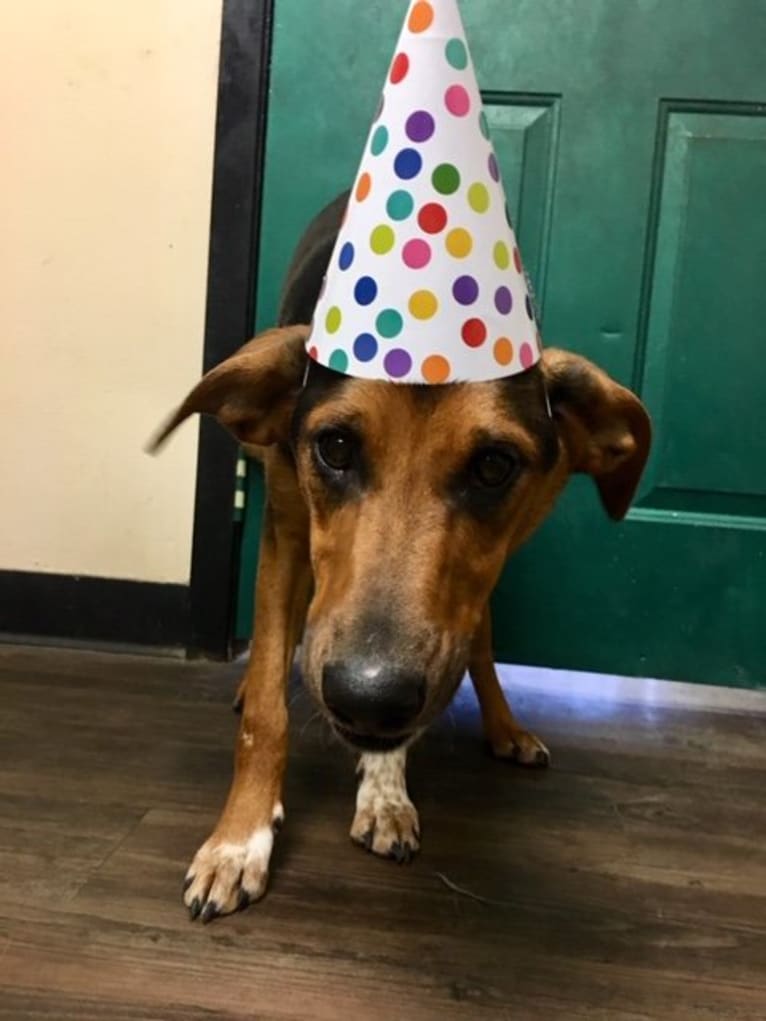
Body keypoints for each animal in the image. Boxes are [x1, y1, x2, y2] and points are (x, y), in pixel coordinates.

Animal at [154, 187, 653, 922]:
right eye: (334, 447)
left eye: (495, 465)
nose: (368, 697)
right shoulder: (286, 533)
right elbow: (271, 705)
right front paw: (239, 840)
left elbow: (459, 657)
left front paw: (386, 790)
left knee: (481, 642)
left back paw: (504, 727)